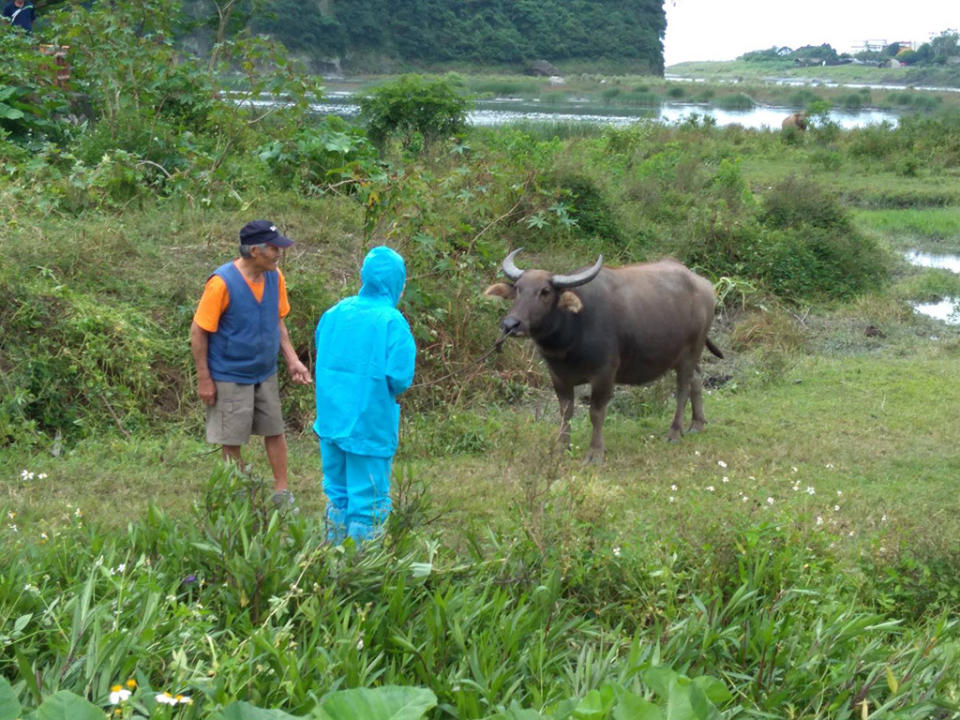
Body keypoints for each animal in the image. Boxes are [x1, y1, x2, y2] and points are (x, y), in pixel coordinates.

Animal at [488, 249, 720, 462]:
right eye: (518, 289)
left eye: (545, 291)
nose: (510, 324)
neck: (572, 332)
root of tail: (704, 285)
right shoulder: (558, 376)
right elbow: (565, 412)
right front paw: (561, 448)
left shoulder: (604, 374)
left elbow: (596, 413)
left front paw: (596, 453)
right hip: (683, 356)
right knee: (696, 379)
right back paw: (697, 423)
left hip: (692, 350)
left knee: (682, 389)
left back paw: (674, 431)